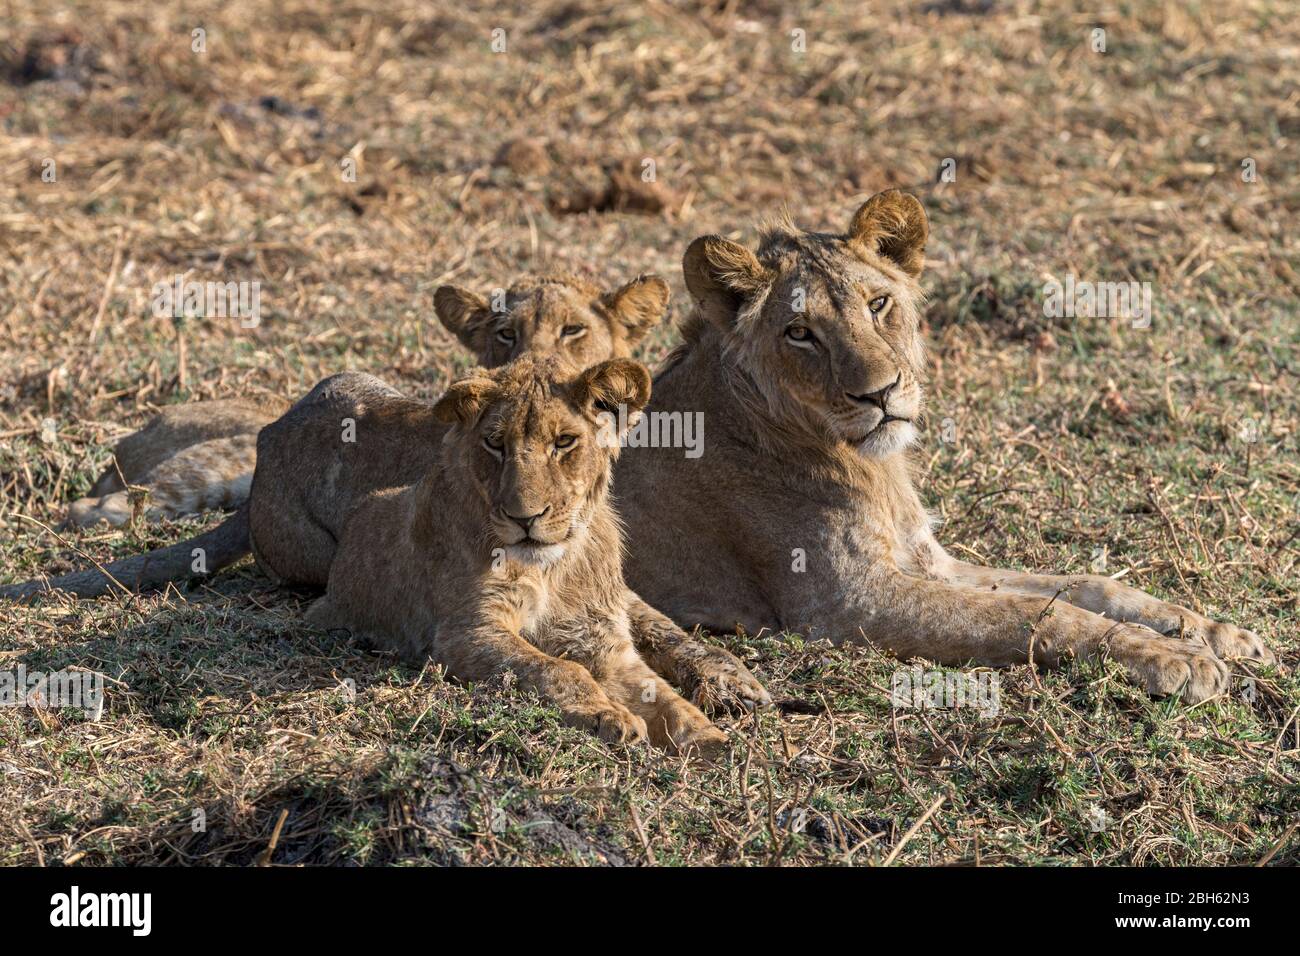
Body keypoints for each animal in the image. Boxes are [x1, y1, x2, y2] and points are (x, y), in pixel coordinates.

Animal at [613, 189, 1273, 704]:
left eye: (878, 304)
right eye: (799, 333)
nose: (880, 393)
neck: (864, 463)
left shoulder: (933, 562)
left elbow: (1086, 585)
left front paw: (1211, 632)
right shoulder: (844, 602)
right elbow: (1034, 613)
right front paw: (1175, 658)